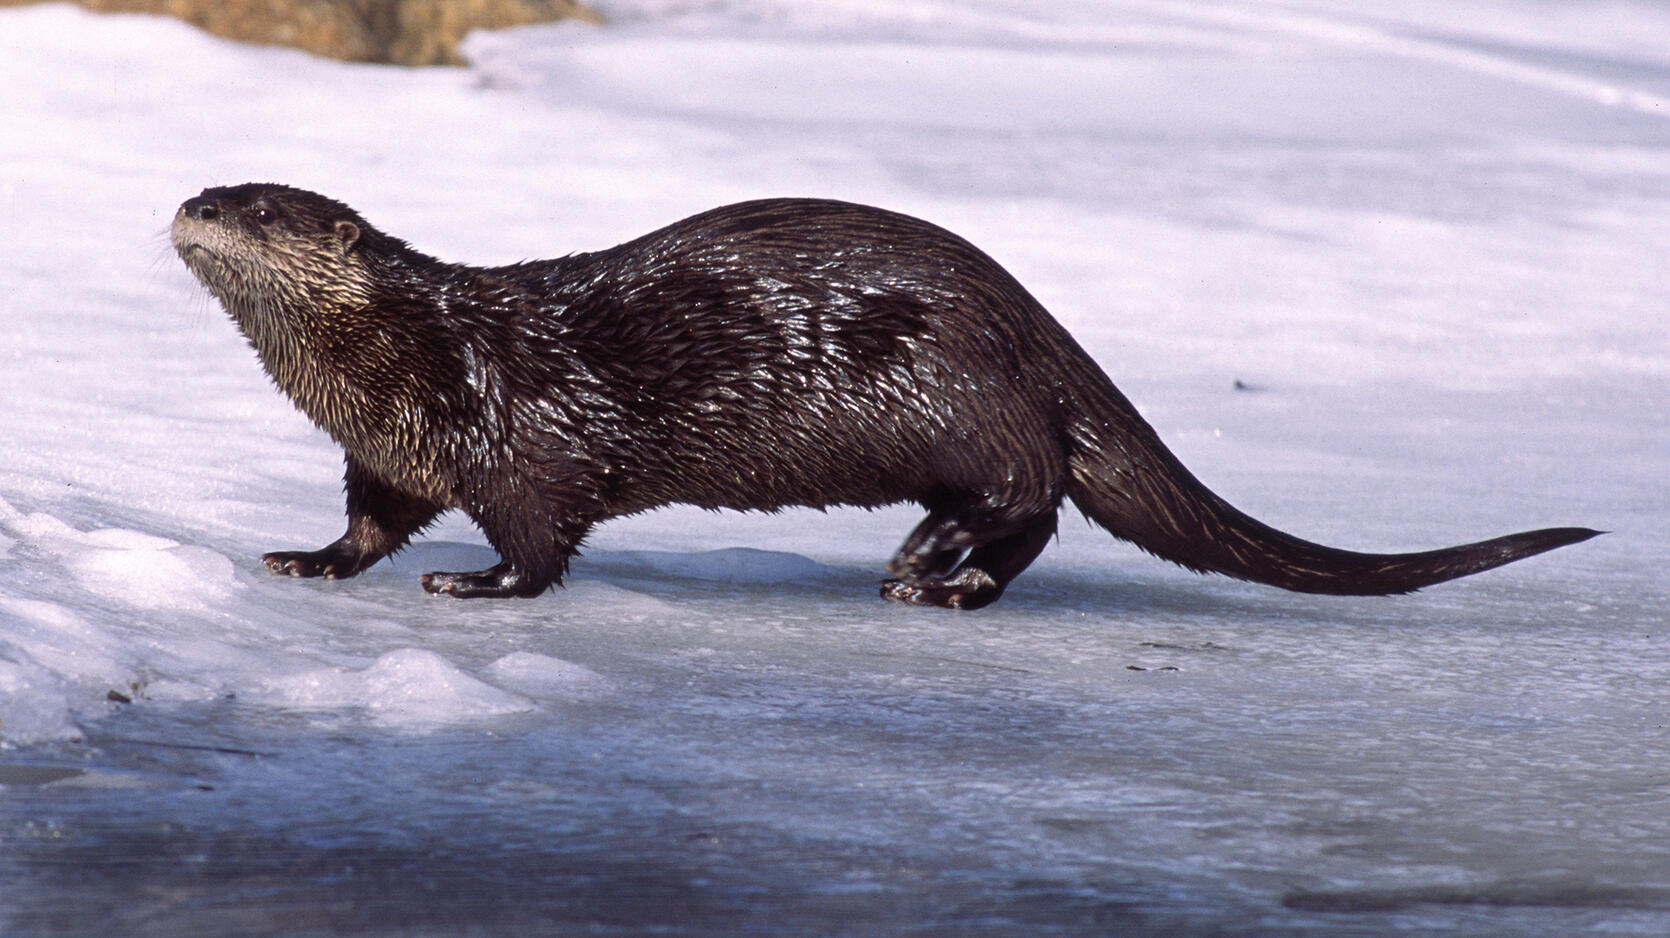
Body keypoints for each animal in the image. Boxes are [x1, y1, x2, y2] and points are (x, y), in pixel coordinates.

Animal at [176, 182, 1596, 607]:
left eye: (263, 209)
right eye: (216, 185)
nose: (192, 202)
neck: (418, 360)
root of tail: (1037, 326)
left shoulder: (522, 442)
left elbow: (537, 540)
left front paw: (472, 584)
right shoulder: (390, 454)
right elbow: (366, 520)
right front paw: (307, 558)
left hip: (953, 393)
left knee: (1030, 489)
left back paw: (926, 564)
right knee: (1039, 509)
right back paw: (941, 578)